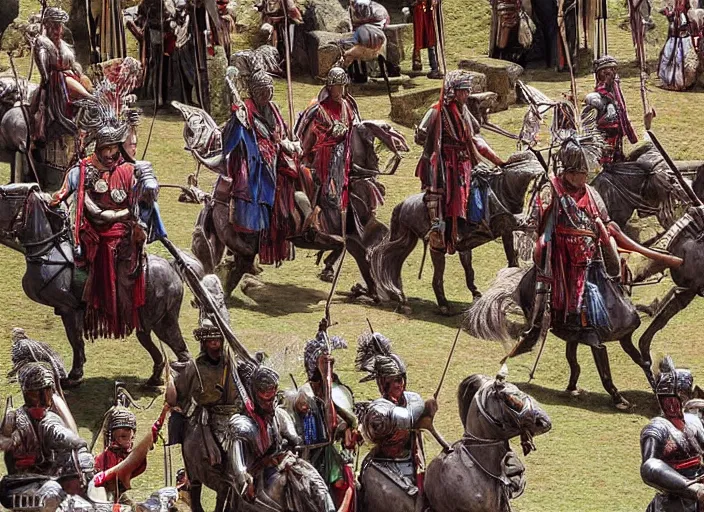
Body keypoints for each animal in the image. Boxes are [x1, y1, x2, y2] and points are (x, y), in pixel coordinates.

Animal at [0, 182, 192, 386]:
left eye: (4, 195)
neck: (48, 253)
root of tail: (172, 268)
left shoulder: (69, 308)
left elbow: (75, 340)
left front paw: (74, 375)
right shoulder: (68, 309)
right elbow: (76, 341)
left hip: (156, 320)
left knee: (177, 350)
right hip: (159, 320)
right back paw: (155, 379)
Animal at [368, 150, 544, 314]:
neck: (504, 190)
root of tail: (403, 205)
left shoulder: (506, 230)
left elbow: (511, 259)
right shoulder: (507, 224)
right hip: (436, 247)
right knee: (436, 276)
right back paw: (443, 305)